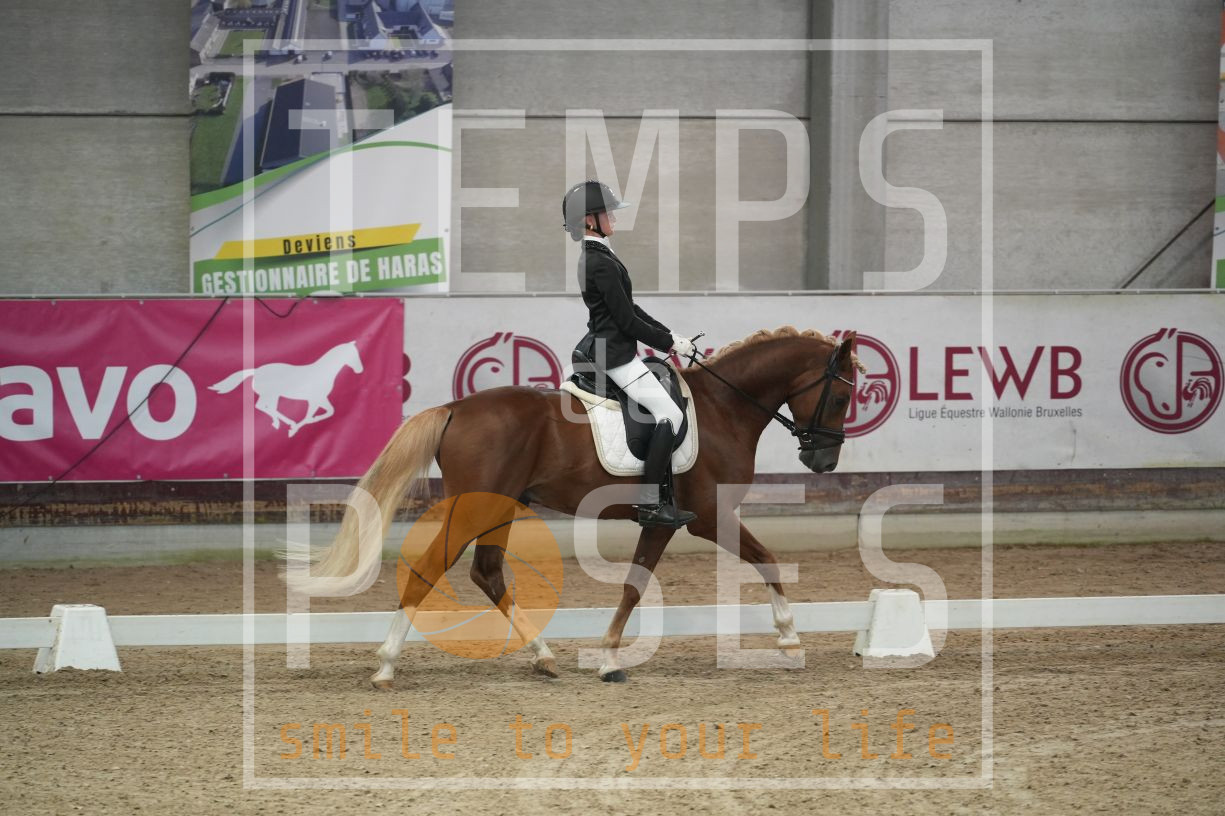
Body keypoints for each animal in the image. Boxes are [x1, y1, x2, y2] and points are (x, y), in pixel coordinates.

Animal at [210, 340, 363, 436]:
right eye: (353, 354)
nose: (360, 370)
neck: (323, 372)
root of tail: (257, 370)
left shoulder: (321, 398)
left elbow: (330, 411)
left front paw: (308, 422)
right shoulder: (314, 400)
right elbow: (310, 415)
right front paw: (293, 430)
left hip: (272, 396)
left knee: (264, 407)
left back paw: (278, 423)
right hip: (271, 395)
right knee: (264, 407)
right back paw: (288, 422)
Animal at [286, 327, 859, 688]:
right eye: (839, 398)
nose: (823, 459)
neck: (725, 409)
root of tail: (455, 408)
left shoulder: (668, 523)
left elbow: (634, 583)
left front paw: (606, 657)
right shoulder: (706, 516)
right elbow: (763, 559)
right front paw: (790, 638)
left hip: (500, 508)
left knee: (487, 572)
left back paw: (543, 657)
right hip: (475, 508)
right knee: (431, 568)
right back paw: (386, 665)